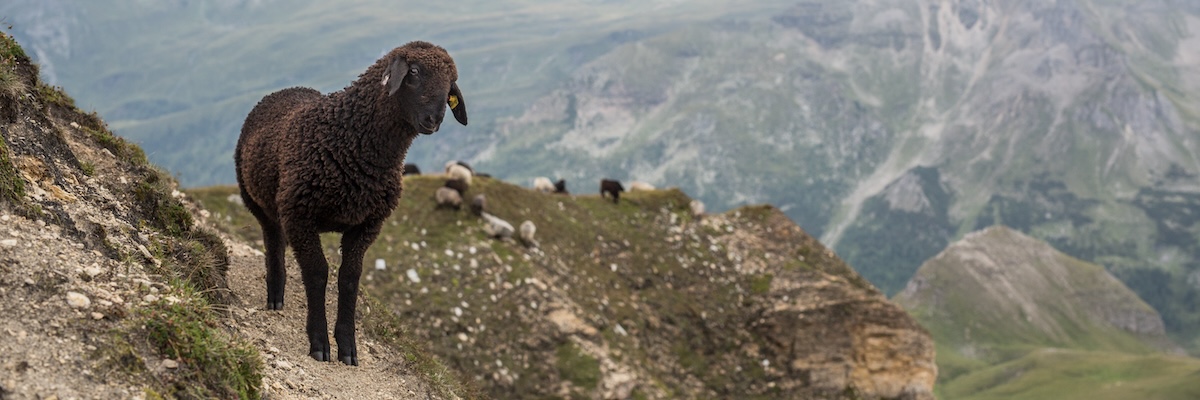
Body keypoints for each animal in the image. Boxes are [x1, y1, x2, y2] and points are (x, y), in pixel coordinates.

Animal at [234, 39, 468, 365]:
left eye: (450, 85)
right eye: (414, 71)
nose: (434, 120)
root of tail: (285, 90)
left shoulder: (367, 225)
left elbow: (350, 278)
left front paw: (347, 347)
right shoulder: (300, 216)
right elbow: (317, 272)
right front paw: (319, 344)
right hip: (257, 200)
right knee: (273, 242)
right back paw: (275, 296)